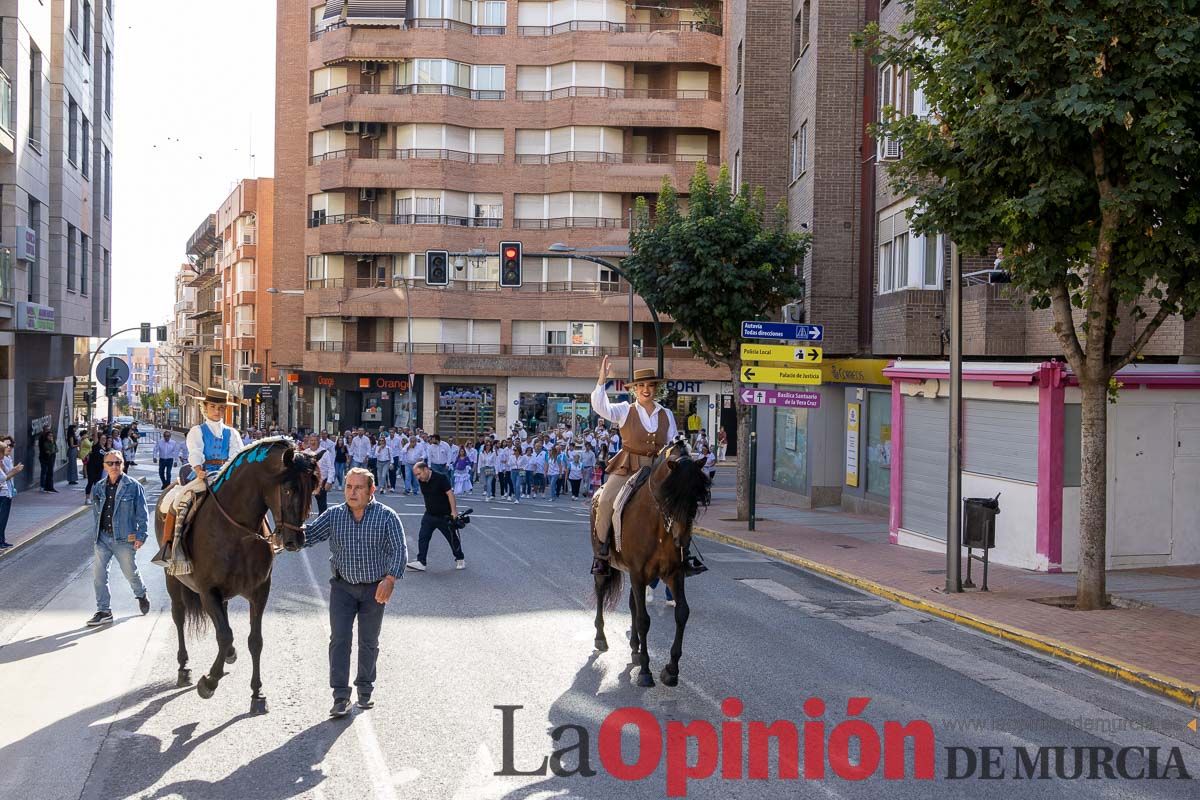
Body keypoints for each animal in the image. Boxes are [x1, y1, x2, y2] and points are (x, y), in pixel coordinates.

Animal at [156, 438, 324, 714]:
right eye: (288, 489)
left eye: (312, 489)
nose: (295, 540)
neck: (236, 532)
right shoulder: (207, 591)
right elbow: (224, 635)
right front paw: (209, 682)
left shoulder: (259, 592)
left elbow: (254, 640)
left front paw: (257, 692)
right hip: (173, 579)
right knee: (179, 616)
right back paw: (184, 668)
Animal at [592, 438, 710, 690]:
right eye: (672, 496)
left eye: (696, 497)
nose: (682, 540)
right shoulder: (638, 573)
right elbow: (644, 619)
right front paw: (646, 672)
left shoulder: (674, 573)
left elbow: (682, 613)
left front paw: (671, 670)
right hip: (605, 564)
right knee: (600, 590)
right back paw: (601, 638)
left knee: (633, 604)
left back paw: (635, 649)